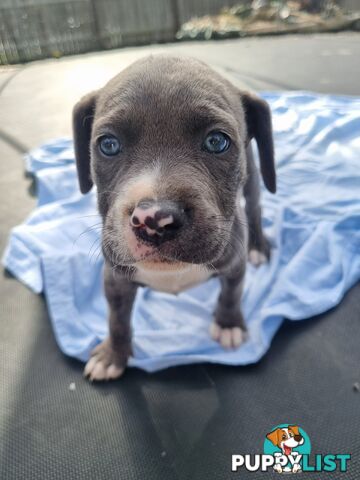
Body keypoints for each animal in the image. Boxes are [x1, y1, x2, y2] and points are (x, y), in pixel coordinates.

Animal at [72, 54, 276, 380]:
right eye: (108, 145)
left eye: (217, 142)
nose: (154, 219)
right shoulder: (115, 278)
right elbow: (117, 319)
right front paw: (113, 354)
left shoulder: (235, 265)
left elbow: (231, 295)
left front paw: (229, 324)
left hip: (255, 178)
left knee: (255, 207)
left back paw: (258, 245)